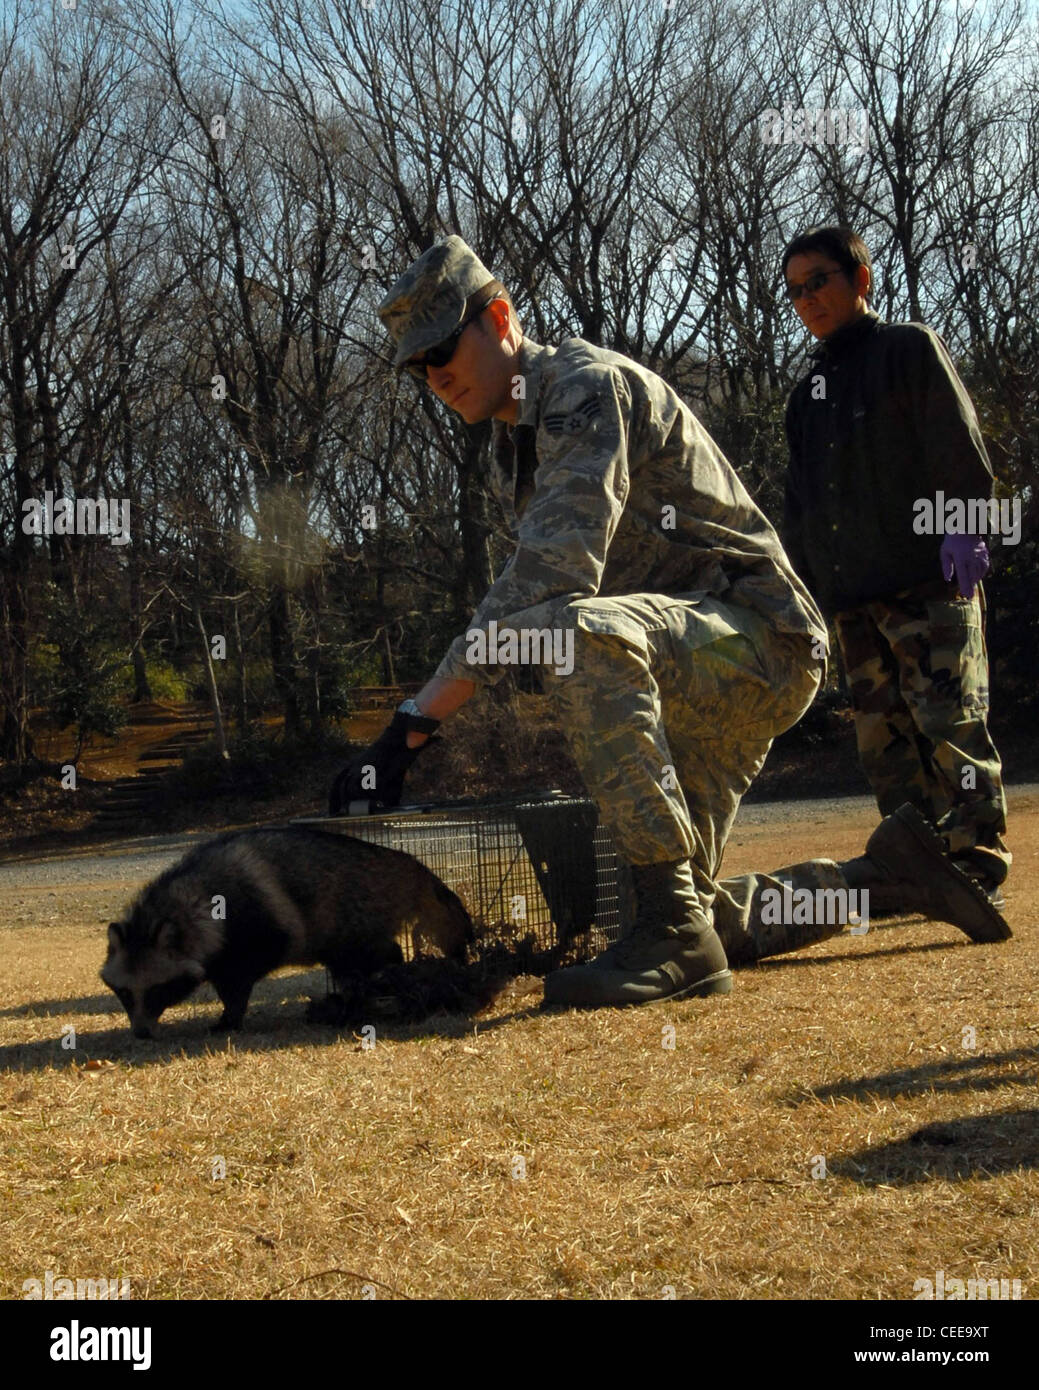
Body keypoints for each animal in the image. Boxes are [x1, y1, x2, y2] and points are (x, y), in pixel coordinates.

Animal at [99, 822, 472, 1045]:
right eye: (125, 993)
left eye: (156, 990)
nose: (141, 1033)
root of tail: (406, 865)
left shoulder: (255, 926)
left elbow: (240, 977)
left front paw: (231, 1015)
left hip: (357, 910)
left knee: (369, 954)